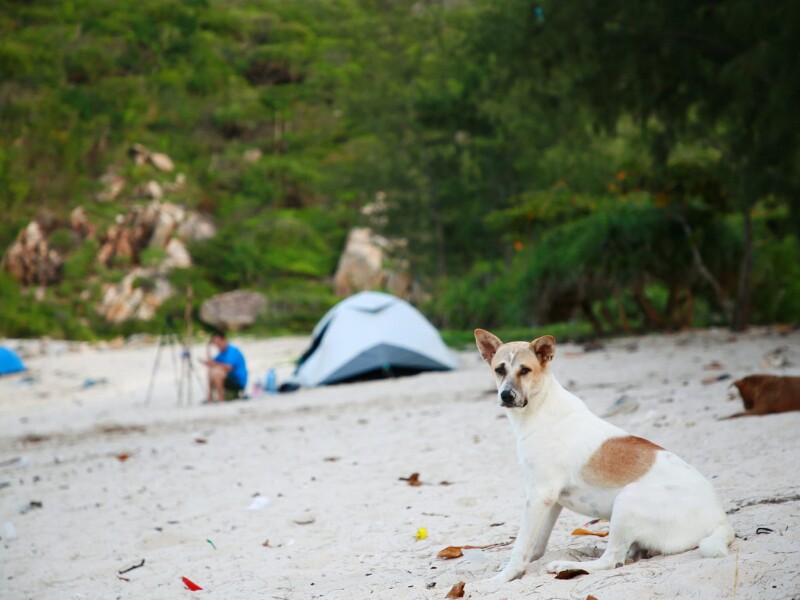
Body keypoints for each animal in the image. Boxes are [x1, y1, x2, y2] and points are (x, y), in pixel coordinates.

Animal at [472, 330, 736, 584]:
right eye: (499, 369)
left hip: (627, 500)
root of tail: (721, 522)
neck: (539, 409)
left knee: (611, 560)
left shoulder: (539, 495)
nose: (506, 395)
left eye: (525, 370)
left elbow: (520, 545)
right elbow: (536, 543)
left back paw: (567, 566)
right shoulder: (551, 500)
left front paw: (502, 578)